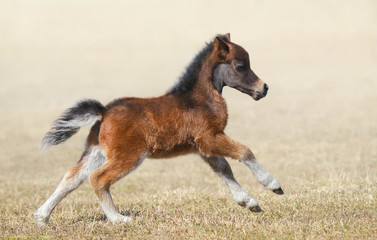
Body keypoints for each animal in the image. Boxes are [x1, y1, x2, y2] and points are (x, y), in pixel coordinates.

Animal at [34, 33, 282, 225]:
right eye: (240, 66)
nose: (264, 88)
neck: (198, 99)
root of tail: (103, 112)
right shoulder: (209, 138)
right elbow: (244, 152)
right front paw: (273, 185)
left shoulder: (203, 147)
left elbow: (224, 170)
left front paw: (249, 203)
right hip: (129, 155)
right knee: (98, 178)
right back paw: (118, 218)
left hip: (96, 151)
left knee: (73, 177)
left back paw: (42, 217)